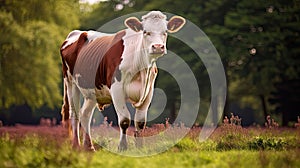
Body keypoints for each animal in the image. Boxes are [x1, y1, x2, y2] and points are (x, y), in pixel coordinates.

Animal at [59, 11, 184, 151]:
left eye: (165, 31)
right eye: (145, 31)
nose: (158, 47)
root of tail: (76, 33)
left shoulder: (148, 91)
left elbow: (140, 122)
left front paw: (140, 148)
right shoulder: (116, 89)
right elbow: (124, 120)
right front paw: (122, 146)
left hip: (92, 91)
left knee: (85, 114)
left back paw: (89, 147)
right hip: (70, 82)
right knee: (74, 114)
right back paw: (76, 145)